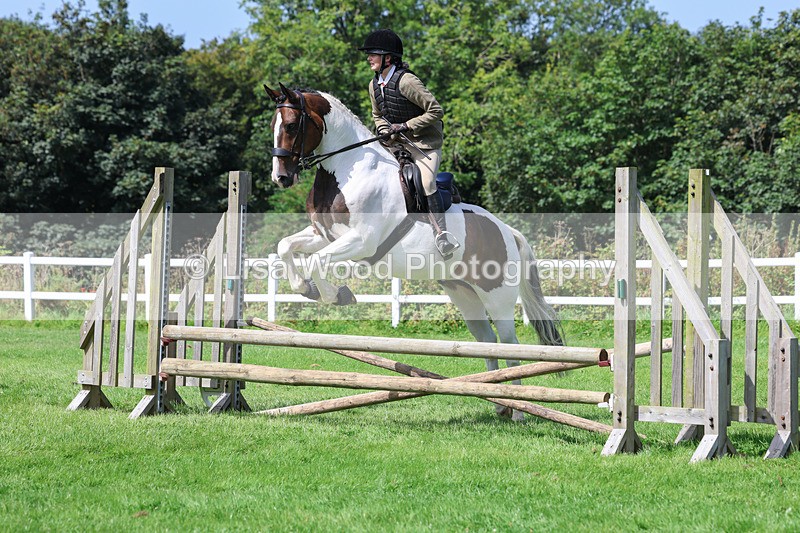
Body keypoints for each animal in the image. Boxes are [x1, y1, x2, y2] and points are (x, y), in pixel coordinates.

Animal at [265, 83, 563, 420]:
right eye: (273, 125)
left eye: (291, 126)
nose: (281, 178)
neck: (348, 169)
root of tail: (507, 231)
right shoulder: (323, 234)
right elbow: (286, 247)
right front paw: (307, 288)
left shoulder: (361, 241)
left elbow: (317, 260)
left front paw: (337, 295)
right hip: (465, 294)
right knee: (486, 341)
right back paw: (500, 403)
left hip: (497, 296)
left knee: (509, 345)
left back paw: (519, 412)